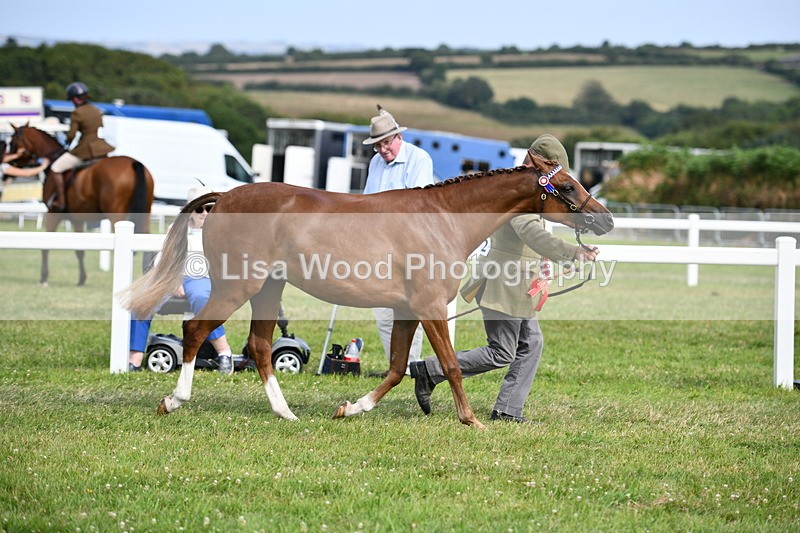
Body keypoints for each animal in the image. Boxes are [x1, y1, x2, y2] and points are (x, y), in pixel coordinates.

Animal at [9, 124, 154, 286]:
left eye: (13, 141)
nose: (10, 163)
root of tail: (133, 162)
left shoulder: (53, 213)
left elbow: (46, 245)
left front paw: (43, 278)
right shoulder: (77, 219)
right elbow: (79, 250)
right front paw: (81, 279)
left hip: (116, 214)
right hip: (145, 212)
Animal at [123, 152, 614, 428]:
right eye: (566, 185)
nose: (605, 219)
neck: (442, 219)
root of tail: (224, 196)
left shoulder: (407, 309)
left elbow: (398, 368)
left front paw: (350, 409)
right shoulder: (430, 306)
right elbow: (452, 366)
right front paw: (471, 420)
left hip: (267, 289)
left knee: (260, 346)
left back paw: (287, 414)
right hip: (237, 284)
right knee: (195, 330)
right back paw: (174, 400)